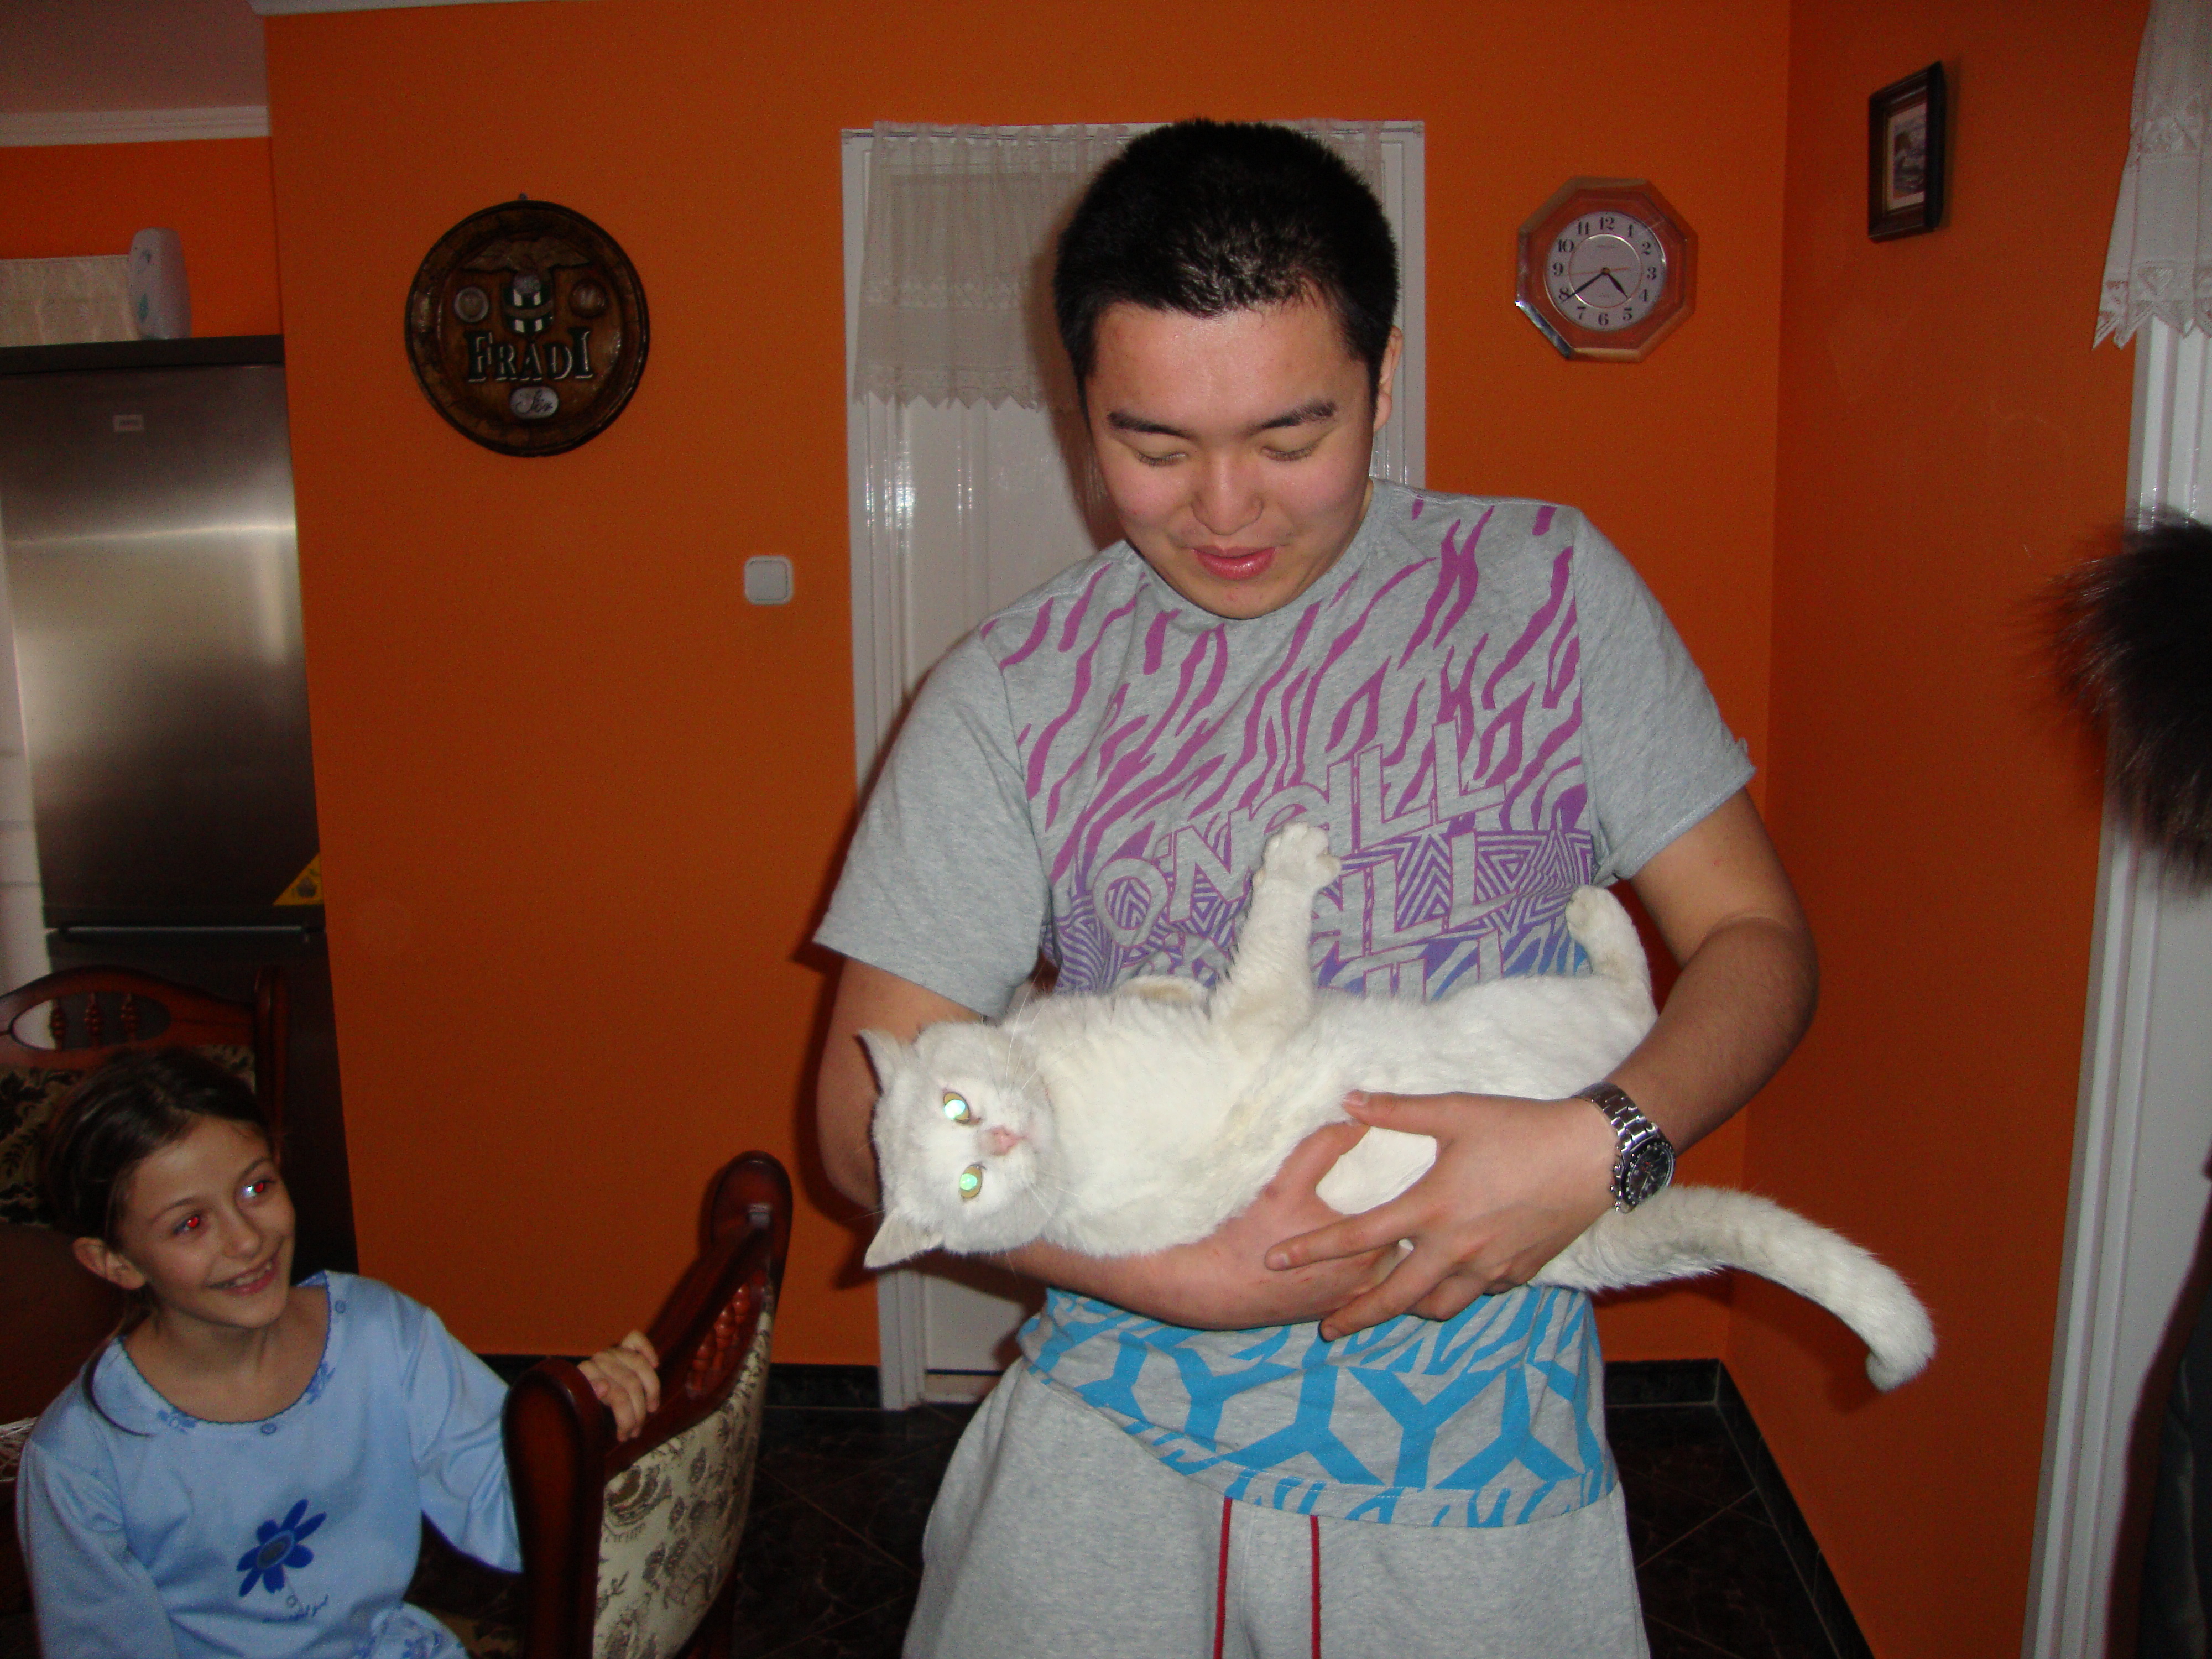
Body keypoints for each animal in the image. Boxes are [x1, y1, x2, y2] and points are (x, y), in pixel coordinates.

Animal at [862, 824, 1935, 1391]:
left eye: (957, 1111)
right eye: (969, 1182)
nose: (1005, 1136)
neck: (1060, 1094)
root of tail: (1598, 1242)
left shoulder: (1204, 1019)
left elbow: (1181, 984)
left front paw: (1161, 981)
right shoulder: (1254, 1024)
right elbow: (1270, 933)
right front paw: (1297, 860)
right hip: (1538, 1013)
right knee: (1638, 1000)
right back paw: (1595, 911)